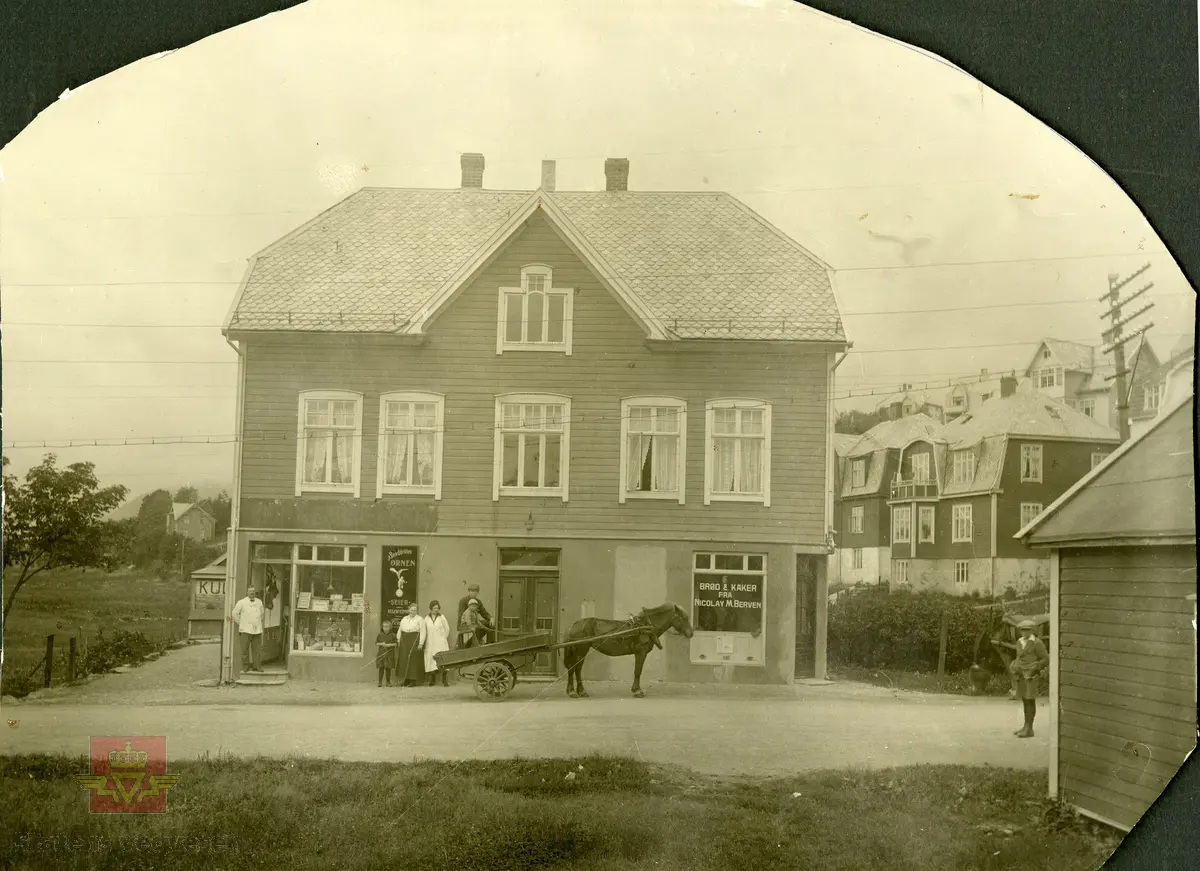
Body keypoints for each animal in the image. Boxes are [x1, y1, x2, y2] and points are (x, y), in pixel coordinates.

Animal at [561, 604, 696, 700]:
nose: (691, 633)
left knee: (576, 669)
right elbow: (638, 671)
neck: (647, 626)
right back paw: (573, 691)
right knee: (574, 669)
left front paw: (635, 689)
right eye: (684, 618)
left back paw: (578, 691)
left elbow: (637, 671)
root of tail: (573, 625)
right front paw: (638, 691)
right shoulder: (641, 652)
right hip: (581, 650)